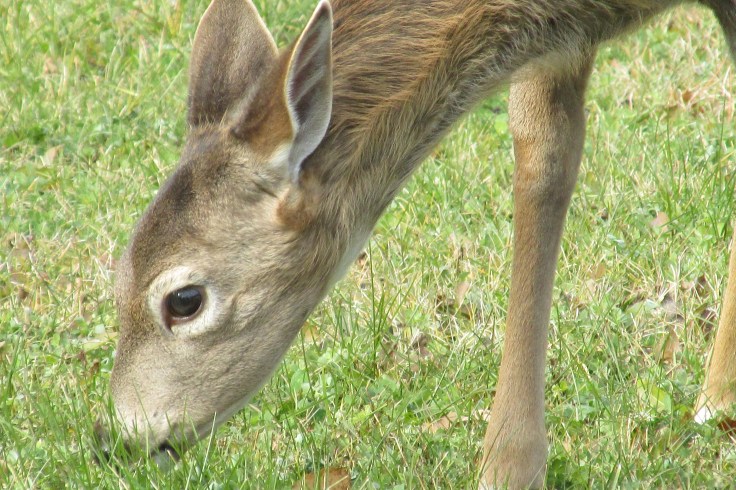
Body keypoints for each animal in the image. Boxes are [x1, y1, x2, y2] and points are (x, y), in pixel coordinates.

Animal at [94, 0, 736, 487]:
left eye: (184, 300)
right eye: (118, 274)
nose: (122, 437)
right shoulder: (559, 44)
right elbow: (542, 153)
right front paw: (510, 465)